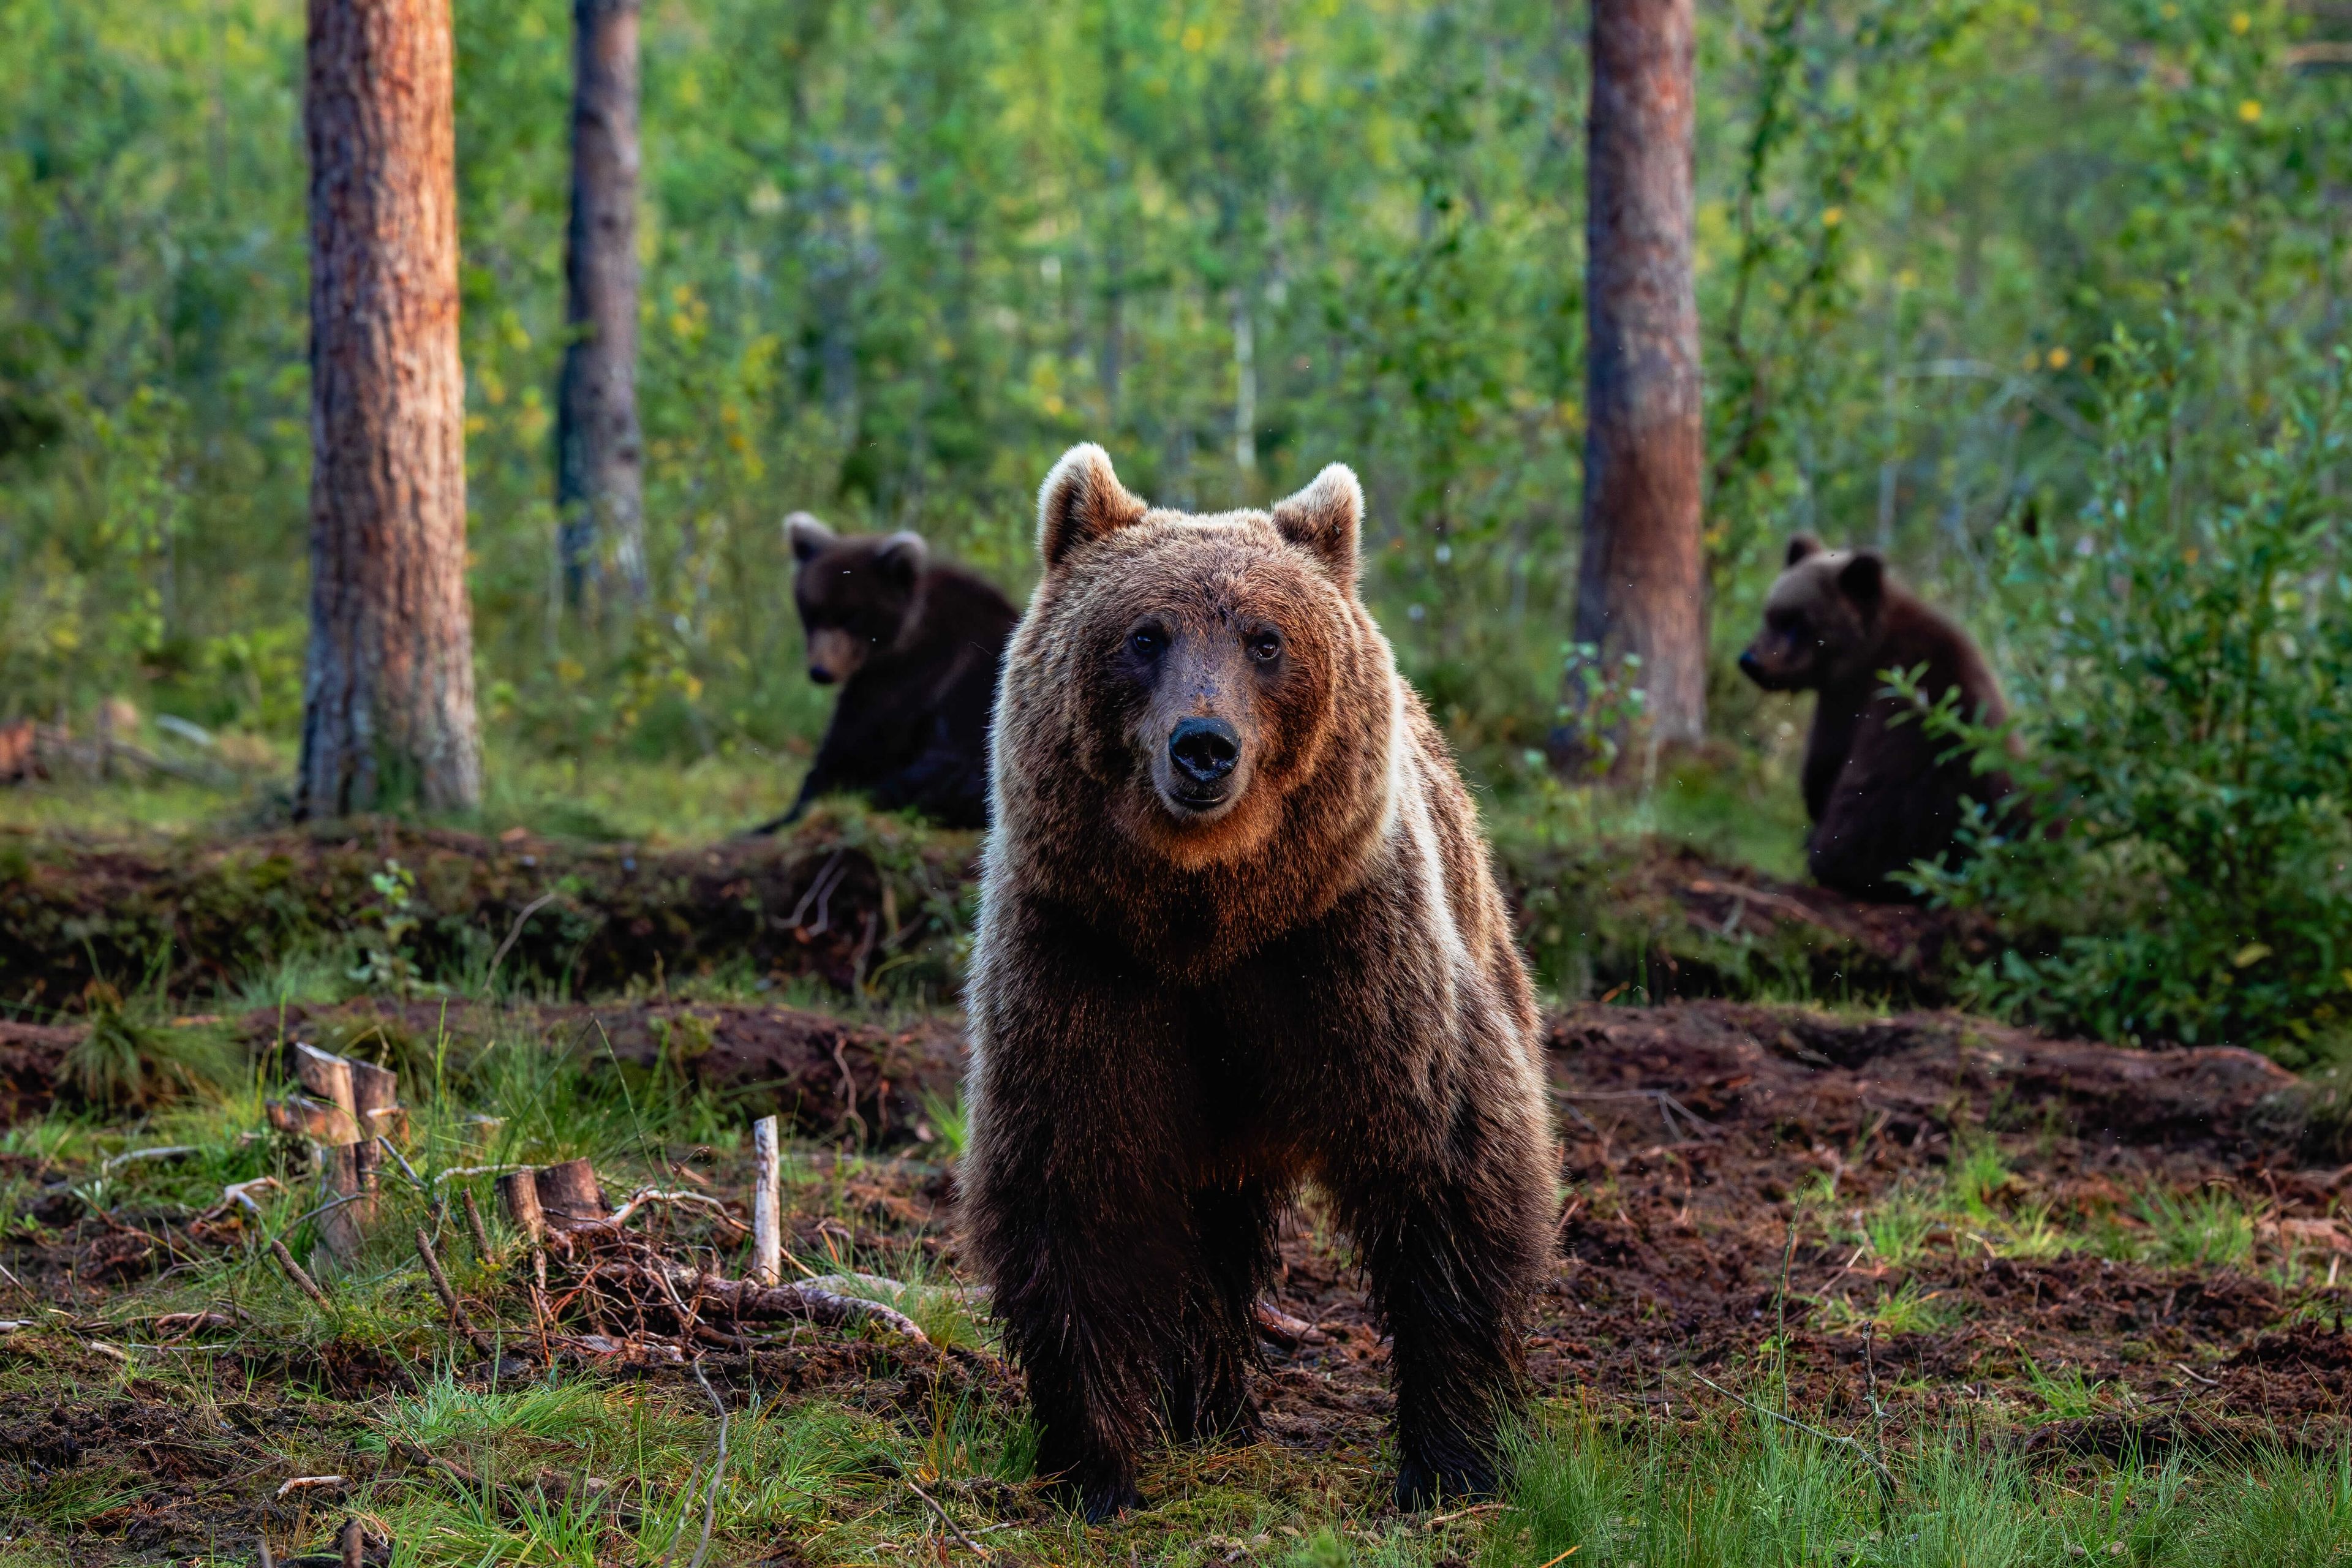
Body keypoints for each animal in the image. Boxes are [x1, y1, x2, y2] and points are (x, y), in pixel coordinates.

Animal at [750, 513, 1020, 833]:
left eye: (853, 616)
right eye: (814, 611)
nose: (821, 671)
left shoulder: (916, 671)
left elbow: (857, 740)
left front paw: (778, 818)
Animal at [961, 445, 1556, 1521]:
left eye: (1266, 639)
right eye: (1144, 636)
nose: (1204, 745)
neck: (1209, 916)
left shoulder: (1347, 952)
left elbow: (1448, 1167)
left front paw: (1449, 1461)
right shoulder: (1085, 961)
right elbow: (1074, 1182)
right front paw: (1094, 1464)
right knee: (1210, 1235)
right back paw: (1211, 1407)